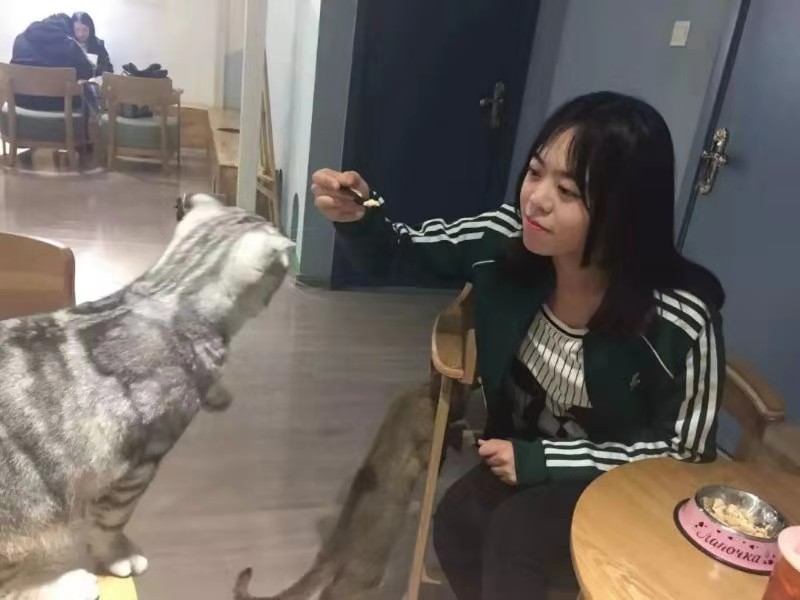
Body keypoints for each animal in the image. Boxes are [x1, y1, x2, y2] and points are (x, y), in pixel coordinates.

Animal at [0, 194, 292, 599]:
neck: (166, 291)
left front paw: (217, 391)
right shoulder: (139, 465)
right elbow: (111, 522)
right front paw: (118, 556)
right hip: (31, 513)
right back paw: (70, 584)